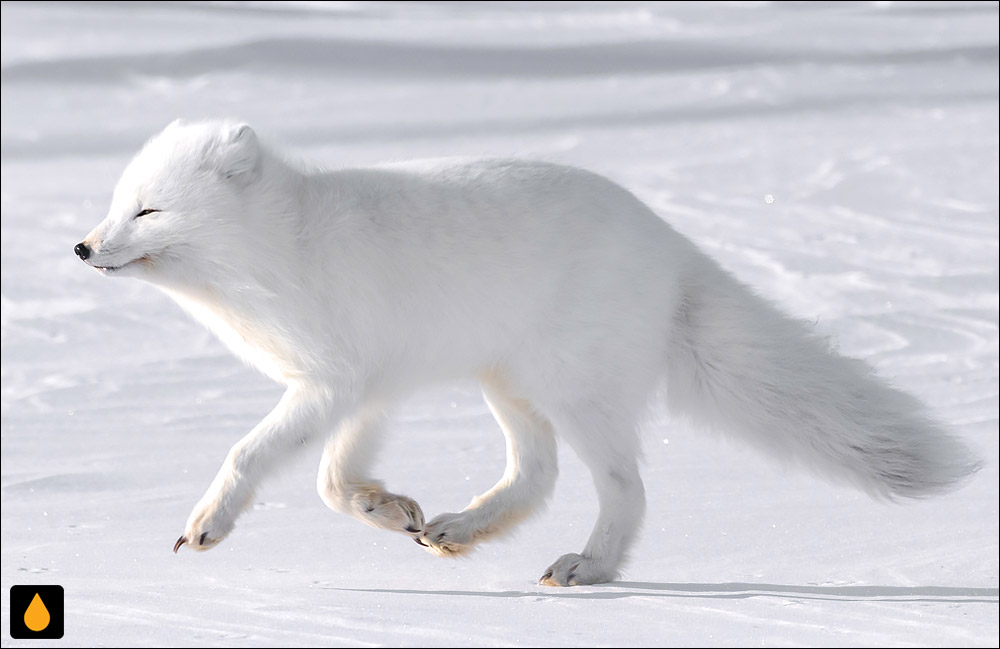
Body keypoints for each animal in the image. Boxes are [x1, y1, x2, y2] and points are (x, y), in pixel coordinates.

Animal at [76, 119, 976, 584]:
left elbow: (248, 453)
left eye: (149, 211)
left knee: (624, 487)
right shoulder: (366, 386)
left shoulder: (330, 382)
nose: (82, 247)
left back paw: (591, 566)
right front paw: (386, 509)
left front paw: (208, 523)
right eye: (117, 203)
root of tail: (671, 243)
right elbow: (334, 483)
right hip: (505, 383)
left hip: (572, 391)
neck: (277, 256)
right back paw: (462, 527)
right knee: (536, 475)